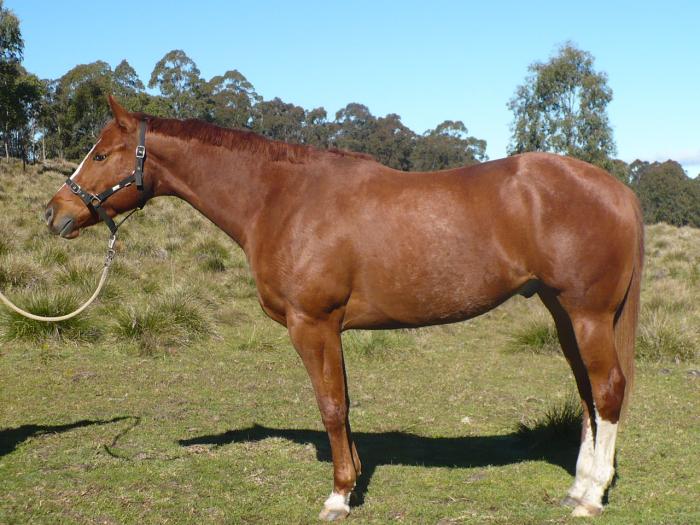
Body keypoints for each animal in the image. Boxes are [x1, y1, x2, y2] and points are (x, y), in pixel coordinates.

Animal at [45, 96, 643, 520]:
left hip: (587, 315)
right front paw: (352, 477)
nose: (54, 212)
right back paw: (577, 486)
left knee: (608, 390)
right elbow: (346, 402)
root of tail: (617, 190)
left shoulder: (312, 324)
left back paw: (592, 496)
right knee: (587, 395)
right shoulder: (332, 328)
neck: (282, 199)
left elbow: (330, 405)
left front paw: (338, 496)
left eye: (101, 154)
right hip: (563, 314)